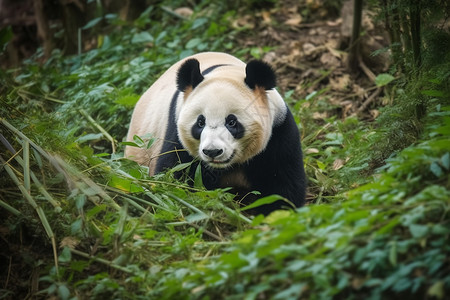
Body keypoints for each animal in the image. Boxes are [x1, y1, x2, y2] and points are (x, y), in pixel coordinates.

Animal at [125, 52, 304, 214]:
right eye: (200, 122)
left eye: (231, 122)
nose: (212, 151)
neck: (226, 73)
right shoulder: (176, 130)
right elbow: (174, 174)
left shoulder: (279, 130)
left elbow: (282, 183)